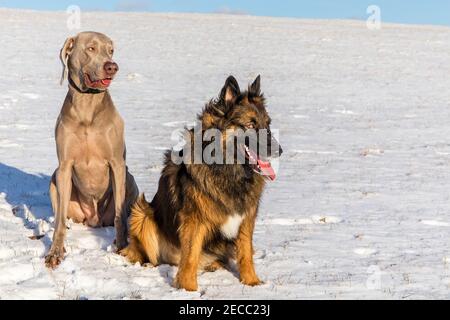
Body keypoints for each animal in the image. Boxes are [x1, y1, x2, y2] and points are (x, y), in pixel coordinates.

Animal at [45, 31, 138, 268]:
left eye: (110, 50)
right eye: (91, 48)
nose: (112, 66)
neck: (87, 104)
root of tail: (95, 221)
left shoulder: (117, 163)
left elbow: (119, 215)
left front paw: (121, 245)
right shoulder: (64, 166)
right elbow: (59, 222)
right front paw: (55, 252)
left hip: (130, 179)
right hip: (54, 179)